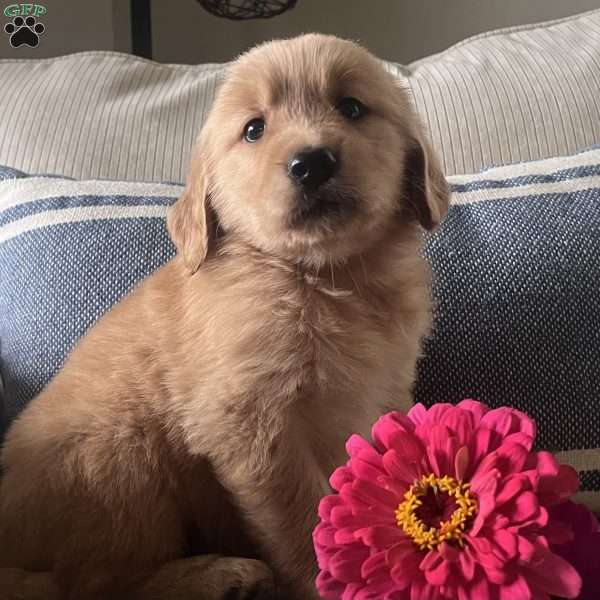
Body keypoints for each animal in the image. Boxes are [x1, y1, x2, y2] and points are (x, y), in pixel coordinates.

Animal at [0, 34, 448, 600]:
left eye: (351, 107)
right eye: (254, 129)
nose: (311, 163)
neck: (324, 279)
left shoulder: (383, 391)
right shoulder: (251, 421)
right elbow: (305, 518)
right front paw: (330, 579)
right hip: (120, 455)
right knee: (98, 582)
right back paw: (221, 575)